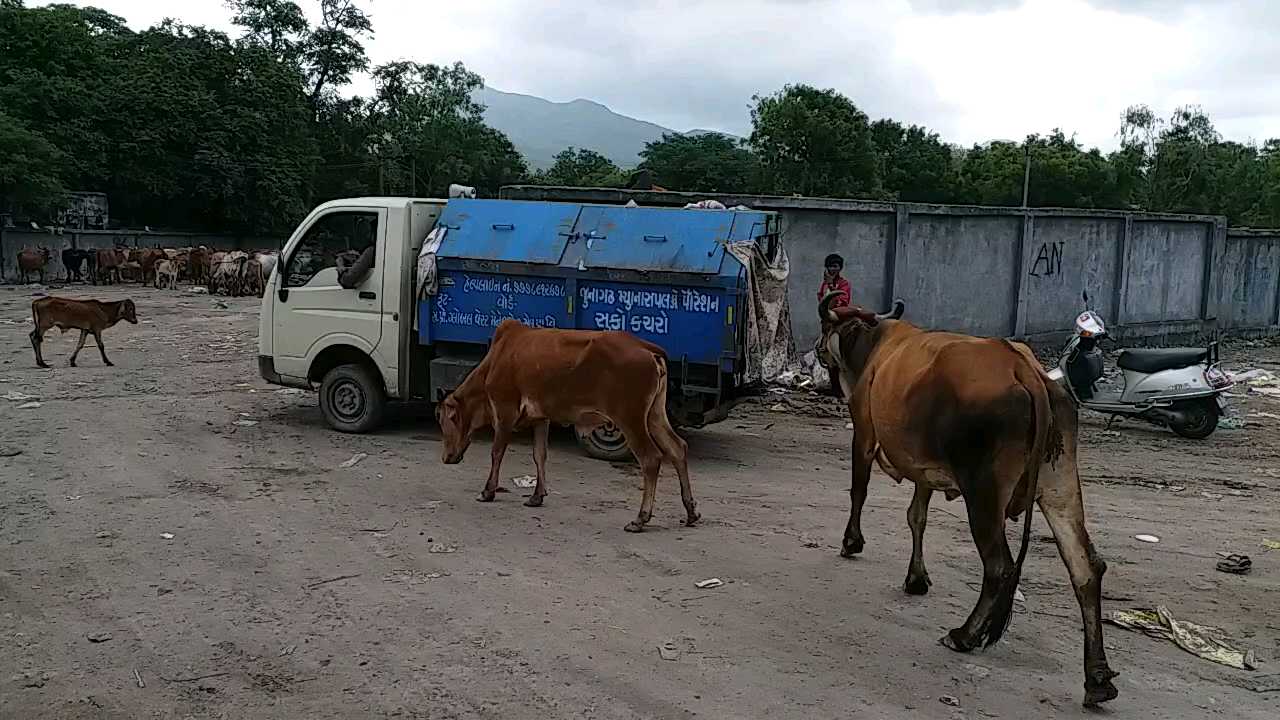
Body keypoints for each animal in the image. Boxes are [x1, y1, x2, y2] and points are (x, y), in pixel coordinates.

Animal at [440, 316, 701, 530]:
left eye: (445, 424)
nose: (446, 458)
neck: (497, 358)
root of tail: (647, 349)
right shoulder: (541, 417)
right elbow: (539, 454)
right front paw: (536, 496)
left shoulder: (505, 412)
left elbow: (497, 453)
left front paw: (488, 491)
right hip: (654, 415)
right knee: (677, 448)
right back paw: (690, 511)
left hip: (630, 419)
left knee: (651, 459)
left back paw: (640, 519)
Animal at [814, 293, 1116, 707]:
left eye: (825, 327)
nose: (816, 349)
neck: (871, 344)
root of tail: (1025, 370)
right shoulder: (923, 467)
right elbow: (917, 517)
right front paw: (916, 577)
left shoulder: (863, 431)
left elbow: (859, 489)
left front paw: (851, 542)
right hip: (1060, 484)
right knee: (1085, 567)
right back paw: (1097, 677)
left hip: (983, 492)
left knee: (1000, 566)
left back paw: (965, 635)